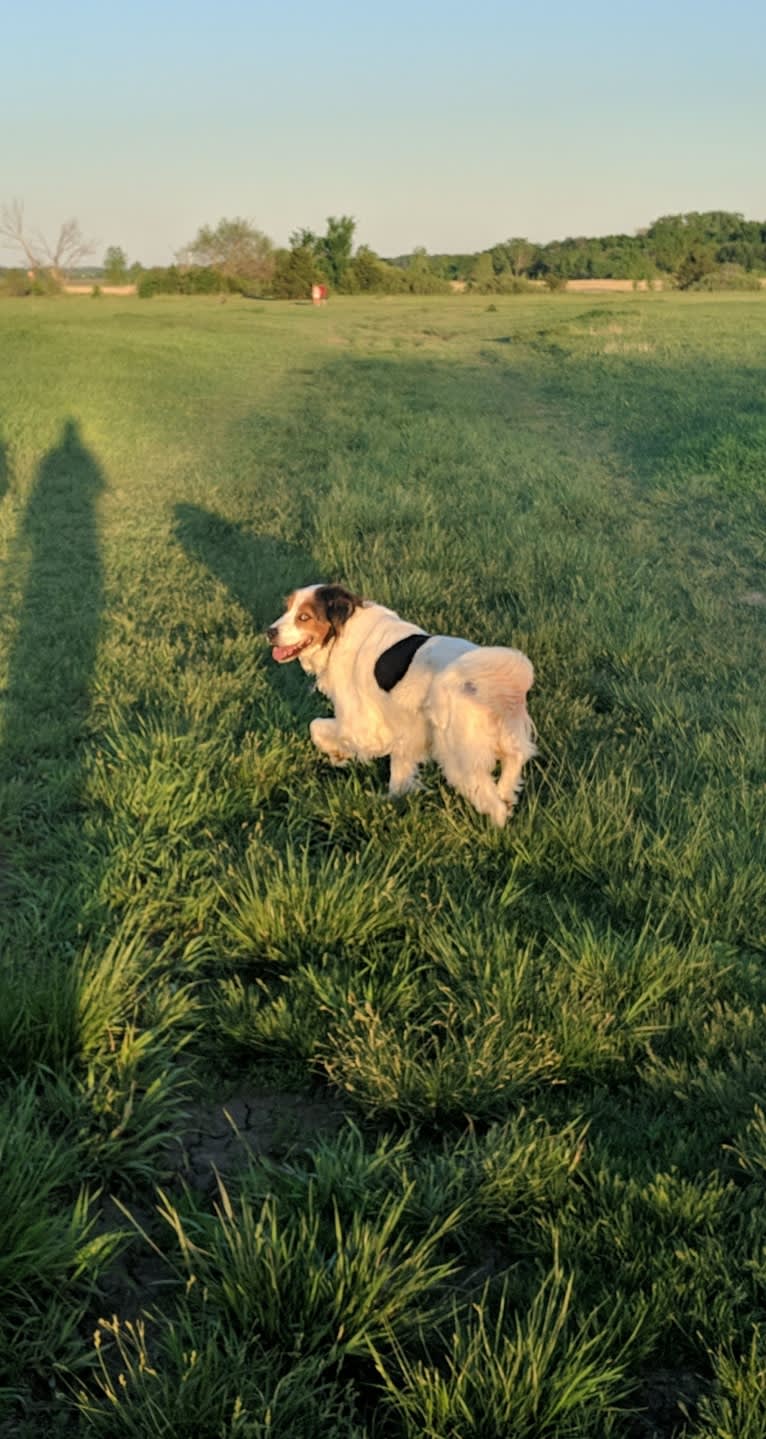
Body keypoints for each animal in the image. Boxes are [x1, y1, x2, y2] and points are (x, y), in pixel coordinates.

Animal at [266, 581, 535, 828]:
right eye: (287, 608)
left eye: (304, 617)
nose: (269, 632)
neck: (342, 631)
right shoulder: (406, 731)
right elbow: (400, 771)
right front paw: (393, 799)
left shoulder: (363, 727)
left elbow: (317, 727)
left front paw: (338, 755)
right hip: (505, 740)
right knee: (513, 765)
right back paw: (506, 796)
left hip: (458, 757)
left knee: (494, 805)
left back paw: (493, 833)